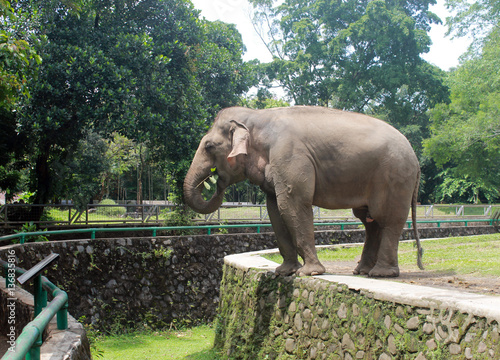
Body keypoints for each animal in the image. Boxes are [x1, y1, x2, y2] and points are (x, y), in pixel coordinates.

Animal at [182, 105, 424, 278]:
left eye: (209, 147)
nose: (216, 181)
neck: (256, 116)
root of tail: (415, 156)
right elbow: (275, 210)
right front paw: (284, 272)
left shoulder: (290, 155)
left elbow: (293, 204)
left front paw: (310, 273)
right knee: (369, 221)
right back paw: (362, 271)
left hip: (394, 176)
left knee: (388, 219)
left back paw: (381, 274)